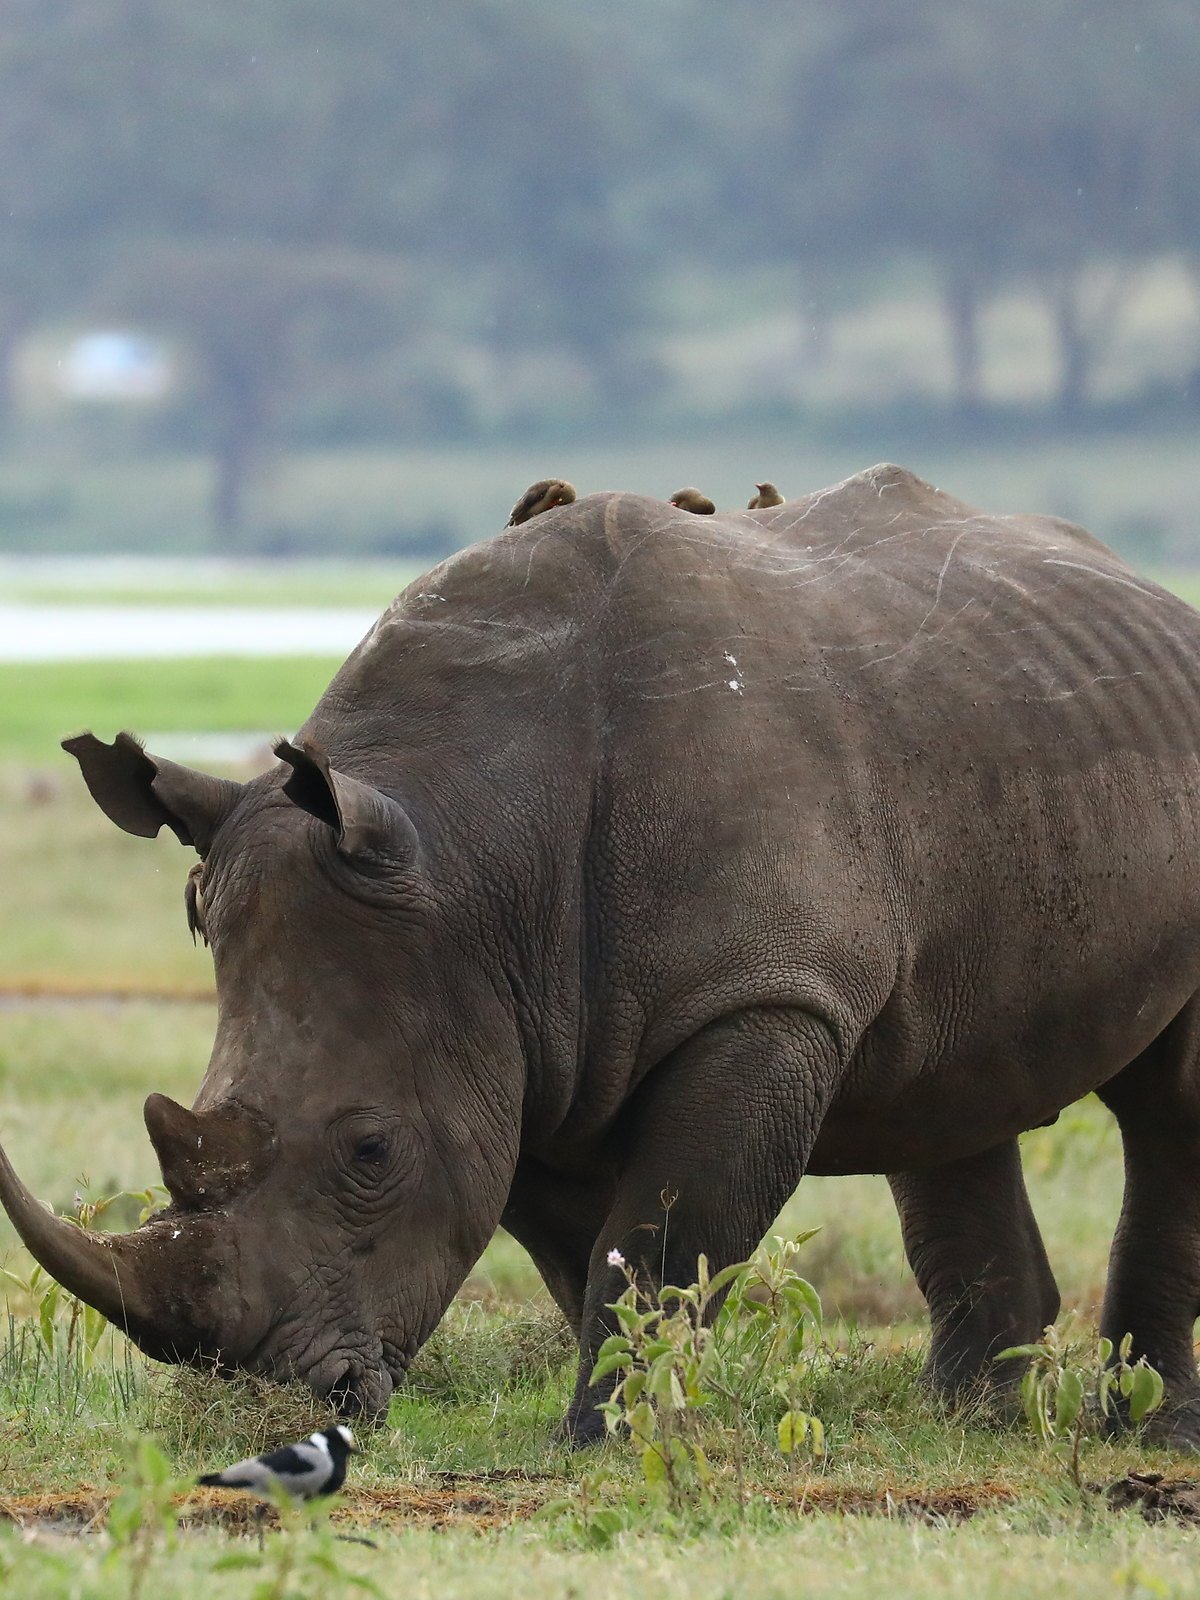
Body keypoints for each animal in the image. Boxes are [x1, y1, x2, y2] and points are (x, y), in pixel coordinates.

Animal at [4, 462, 1200, 1444]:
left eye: (372, 1152)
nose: (276, 1403)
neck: (469, 851)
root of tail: (1153, 600)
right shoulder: (518, 1036)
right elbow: (587, 1253)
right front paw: (634, 1415)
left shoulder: (763, 997)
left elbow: (662, 1237)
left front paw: (602, 1438)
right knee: (949, 1086)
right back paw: (970, 1424)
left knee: (1163, 1106)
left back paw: (1146, 1434)